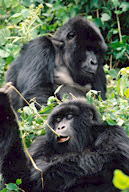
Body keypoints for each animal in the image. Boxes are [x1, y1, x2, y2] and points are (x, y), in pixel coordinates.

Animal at [0, 84, 129, 192]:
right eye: (58, 119)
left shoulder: (113, 132)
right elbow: (23, 181)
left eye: (69, 116)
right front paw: (5, 107)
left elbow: (114, 157)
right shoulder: (39, 146)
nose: (60, 127)